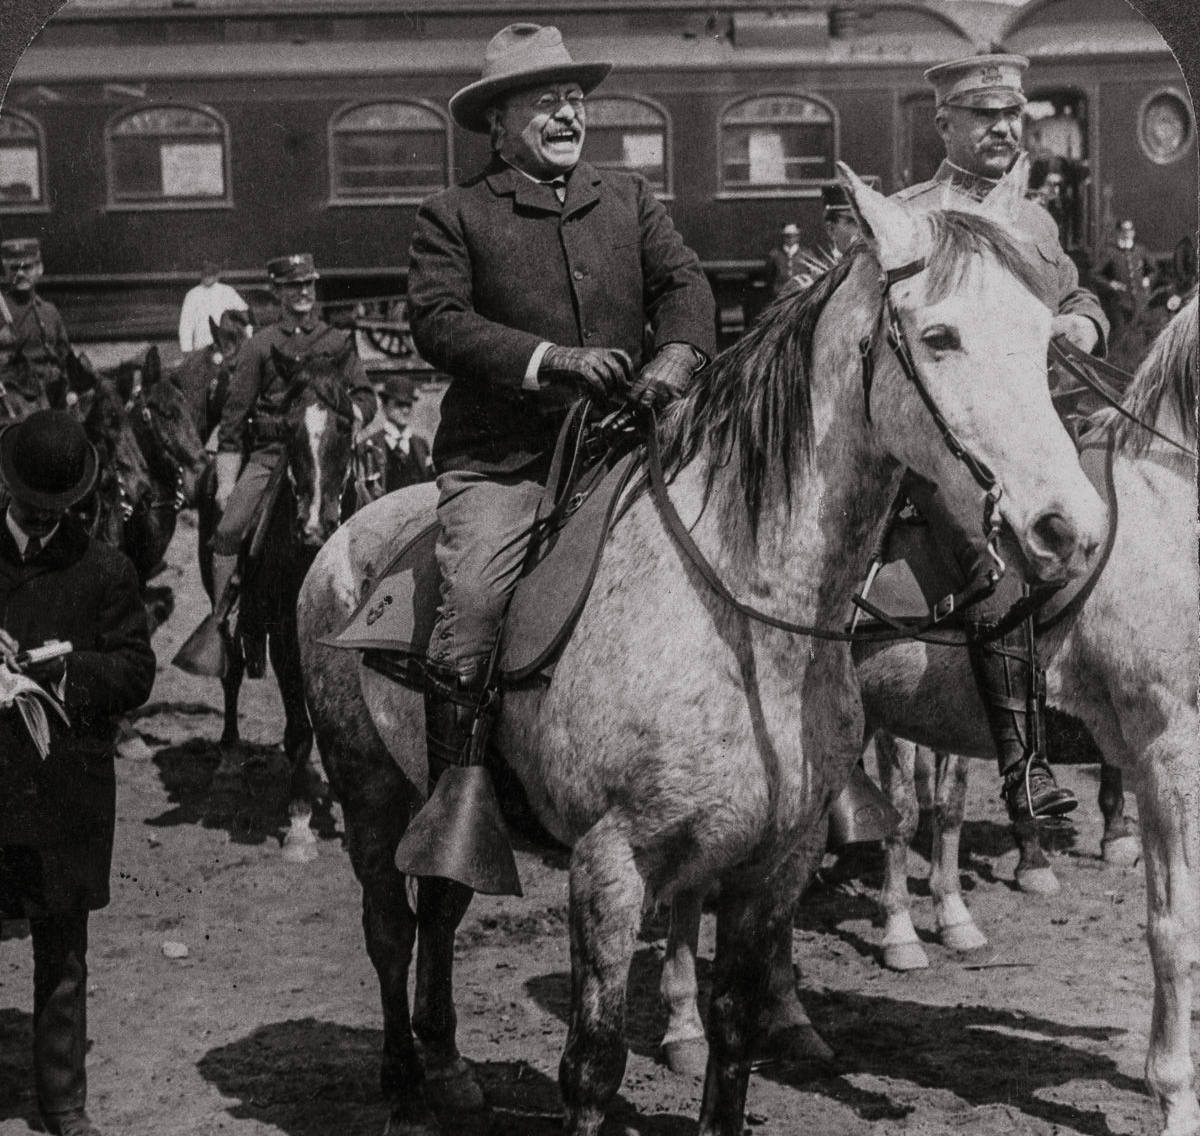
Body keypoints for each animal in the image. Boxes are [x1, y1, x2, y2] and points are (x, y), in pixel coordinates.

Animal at [295, 166, 1099, 1136]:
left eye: (1045, 335)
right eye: (939, 335)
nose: (1068, 526)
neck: (745, 615)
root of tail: (348, 534)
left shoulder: (773, 864)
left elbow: (736, 1030)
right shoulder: (610, 866)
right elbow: (593, 1062)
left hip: (441, 803)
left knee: (442, 907)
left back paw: (448, 1070)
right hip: (369, 788)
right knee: (389, 928)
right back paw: (407, 1083)